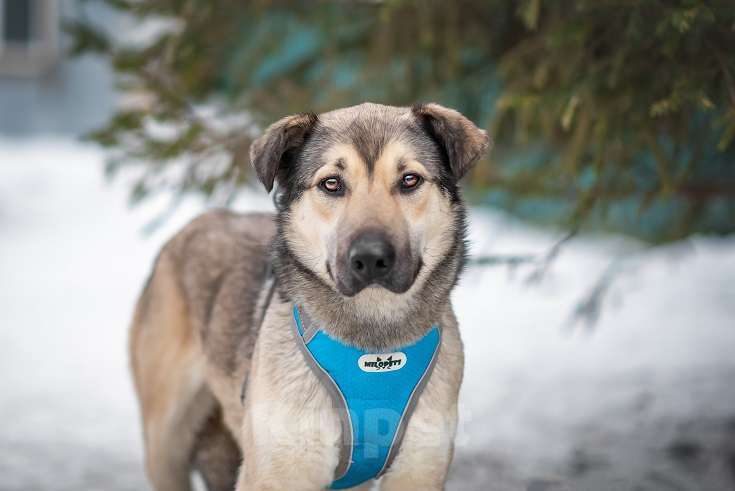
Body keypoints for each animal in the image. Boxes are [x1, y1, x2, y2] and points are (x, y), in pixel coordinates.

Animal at [129, 102, 492, 490]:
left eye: (410, 180)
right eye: (331, 184)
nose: (370, 259)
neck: (374, 341)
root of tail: (199, 221)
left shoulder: (419, 469)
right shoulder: (280, 472)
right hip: (166, 443)